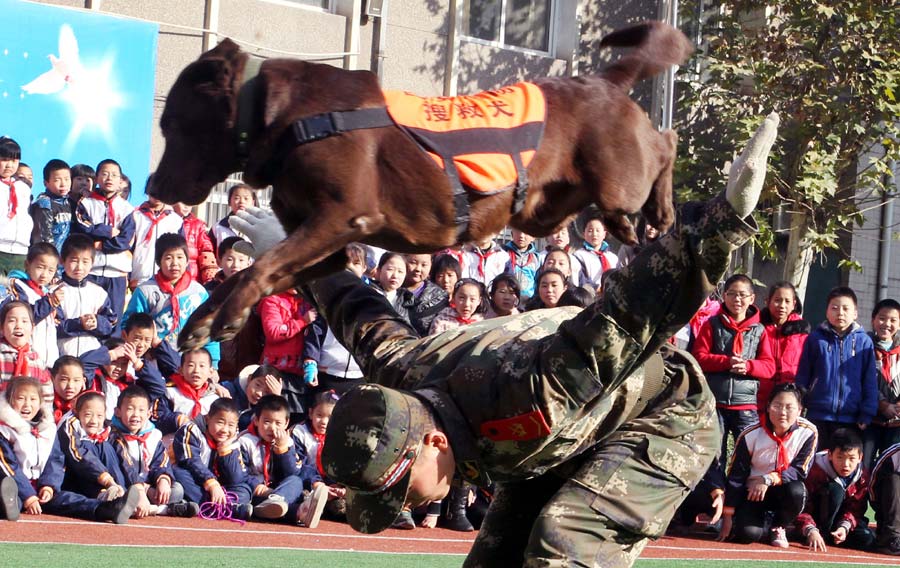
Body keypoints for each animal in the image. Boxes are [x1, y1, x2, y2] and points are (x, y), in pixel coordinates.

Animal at [151, 21, 692, 346]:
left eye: (171, 123)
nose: (154, 183)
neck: (278, 115)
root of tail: (600, 80)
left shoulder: (341, 216)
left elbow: (261, 265)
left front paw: (228, 316)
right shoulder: (325, 248)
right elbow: (255, 269)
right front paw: (205, 319)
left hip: (619, 175)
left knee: (667, 142)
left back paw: (662, 211)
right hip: (544, 211)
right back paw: (628, 226)